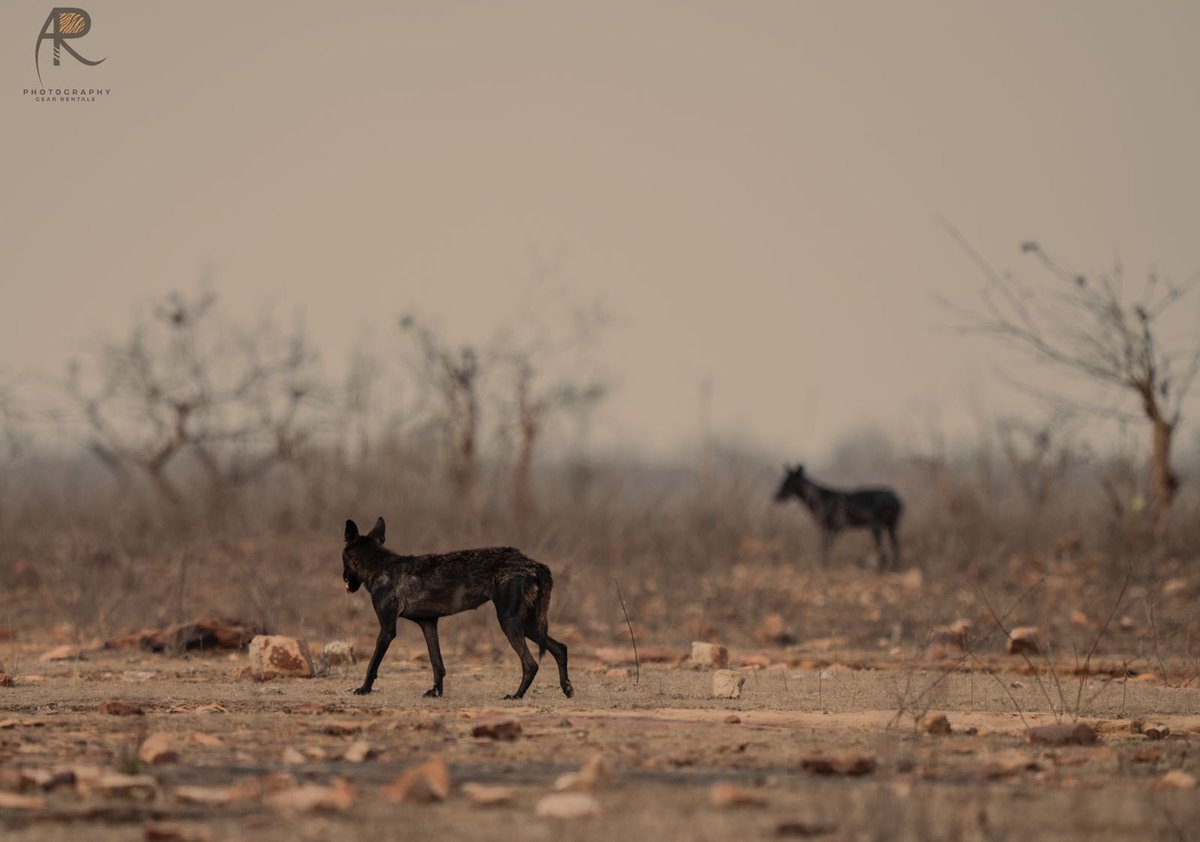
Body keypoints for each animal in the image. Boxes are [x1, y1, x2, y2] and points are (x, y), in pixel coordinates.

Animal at [345, 518, 573, 700]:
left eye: (343, 560)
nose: (346, 581)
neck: (378, 566)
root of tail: (535, 564)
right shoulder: (428, 623)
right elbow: (437, 664)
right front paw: (436, 692)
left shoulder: (388, 630)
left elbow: (372, 665)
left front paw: (364, 689)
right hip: (529, 626)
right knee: (560, 648)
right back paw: (567, 688)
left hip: (510, 623)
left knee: (531, 663)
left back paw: (516, 695)